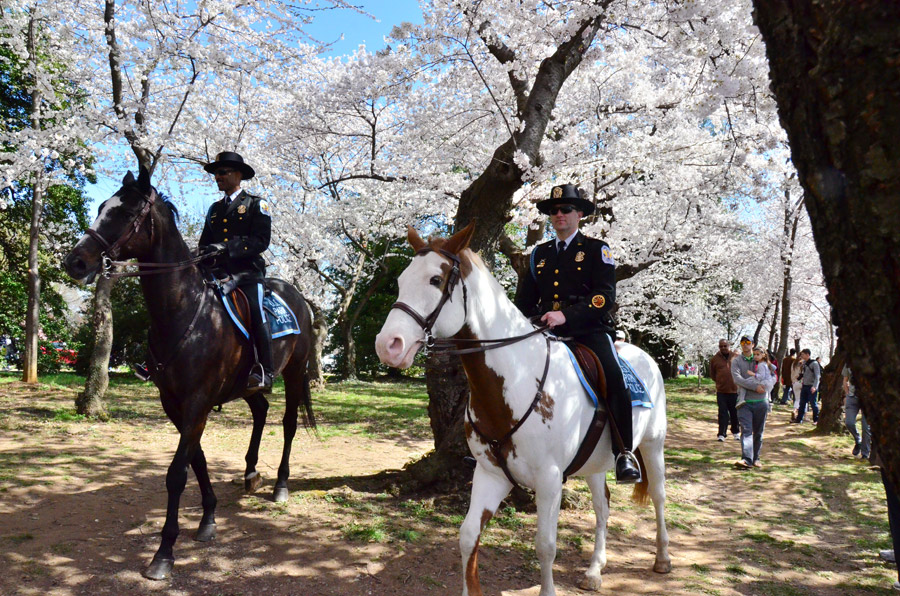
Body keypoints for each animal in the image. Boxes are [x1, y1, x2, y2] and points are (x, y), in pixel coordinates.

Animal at [64, 168, 316, 576]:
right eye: (101, 207)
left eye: (125, 213)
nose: (75, 262)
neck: (184, 309)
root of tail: (298, 297)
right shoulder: (175, 402)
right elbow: (196, 459)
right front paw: (208, 518)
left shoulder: (198, 400)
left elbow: (177, 473)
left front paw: (164, 552)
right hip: (246, 385)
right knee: (261, 411)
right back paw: (250, 473)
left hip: (294, 374)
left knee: (289, 423)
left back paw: (280, 484)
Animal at [372, 225, 668, 596]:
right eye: (400, 280)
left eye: (435, 280)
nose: (388, 345)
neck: (517, 377)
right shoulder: (490, 475)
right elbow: (467, 537)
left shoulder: (549, 480)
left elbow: (545, 545)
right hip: (596, 462)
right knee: (603, 504)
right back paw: (594, 570)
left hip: (653, 445)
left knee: (658, 496)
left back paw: (662, 559)